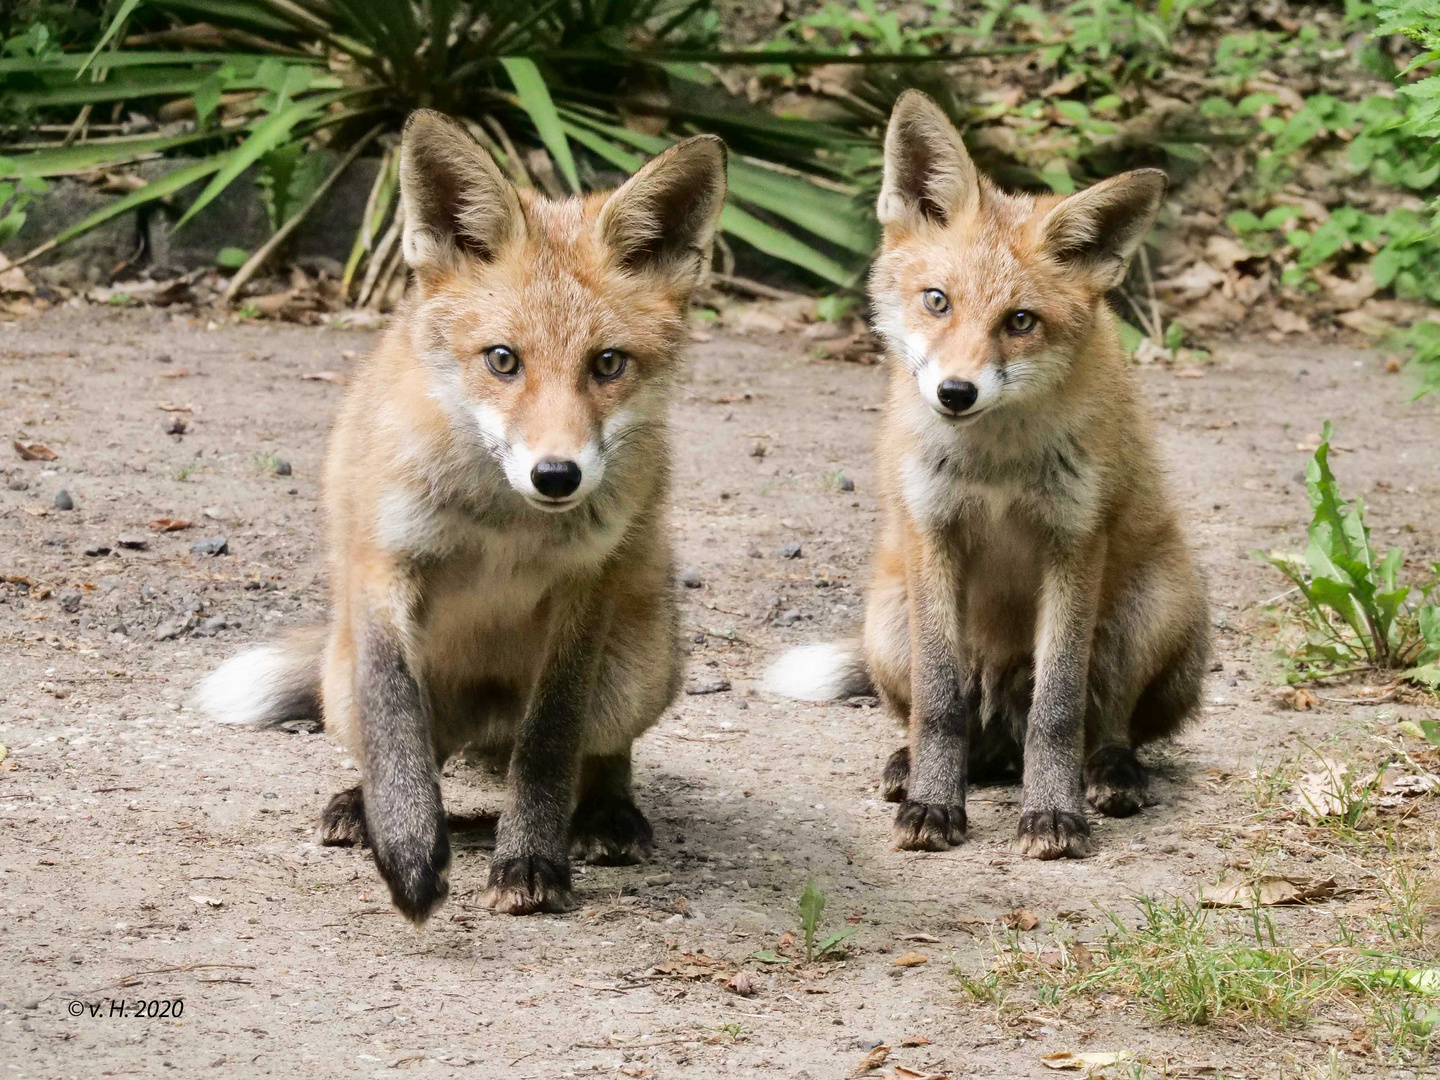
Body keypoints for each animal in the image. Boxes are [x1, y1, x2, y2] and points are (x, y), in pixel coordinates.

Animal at [197, 108, 725, 921]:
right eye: (502, 360)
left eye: (608, 364)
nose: (556, 475)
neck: (505, 526)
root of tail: (485, 720)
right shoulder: (383, 564)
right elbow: (395, 723)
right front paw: (409, 850)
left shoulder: (587, 588)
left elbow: (550, 742)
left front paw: (530, 859)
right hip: (342, 680)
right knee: (422, 740)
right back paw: (365, 805)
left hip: (636, 668)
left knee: (598, 754)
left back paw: (605, 814)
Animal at [771, 97, 1209, 869]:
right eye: (937, 301)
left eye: (1020, 321)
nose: (955, 392)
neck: (998, 465)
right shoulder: (932, 531)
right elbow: (940, 704)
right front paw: (933, 805)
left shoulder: (1075, 540)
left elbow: (1058, 711)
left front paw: (1053, 814)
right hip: (889, 619)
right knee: (938, 717)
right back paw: (911, 765)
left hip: (1153, 606)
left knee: (1106, 724)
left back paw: (1111, 774)